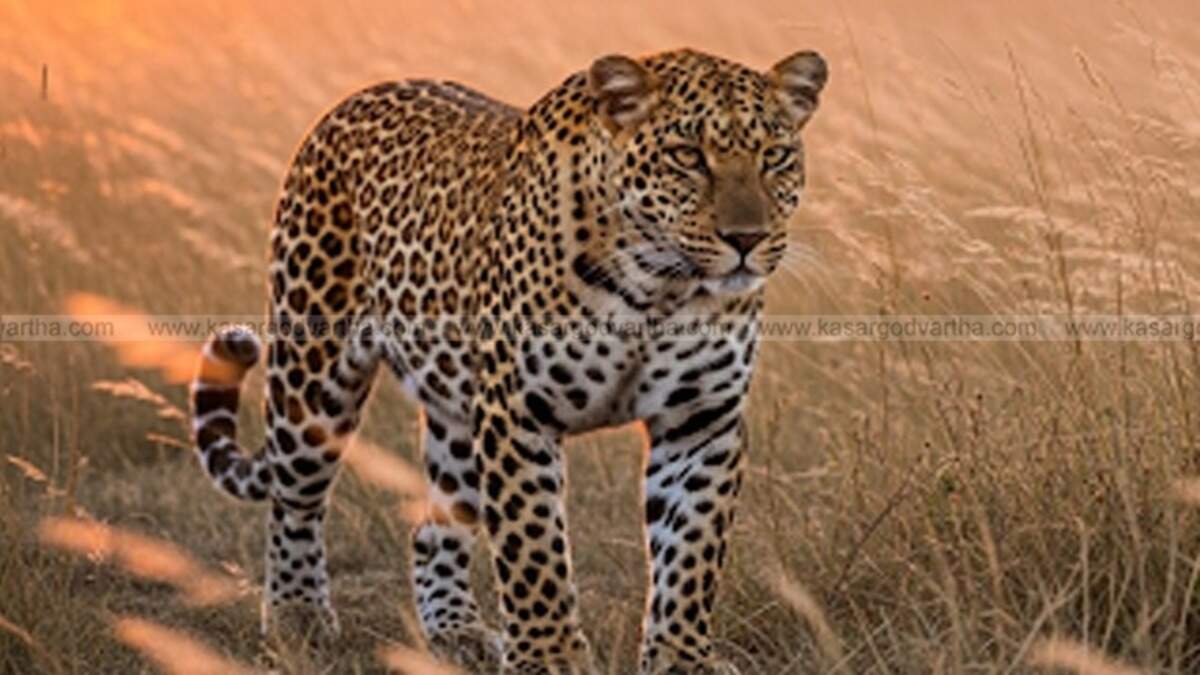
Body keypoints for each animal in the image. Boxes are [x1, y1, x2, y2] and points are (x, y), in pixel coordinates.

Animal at [189, 47, 827, 674]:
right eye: (687, 157)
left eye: (774, 157)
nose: (746, 239)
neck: (659, 288)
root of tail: (356, 98)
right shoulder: (518, 413)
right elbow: (533, 548)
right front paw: (548, 659)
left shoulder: (701, 420)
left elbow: (691, 553)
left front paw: (681, 658)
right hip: (313, 373)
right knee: (294, 497)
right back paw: (296, 616)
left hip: (456, 413)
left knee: (432, 528)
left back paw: (457, 631)